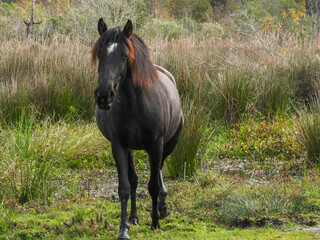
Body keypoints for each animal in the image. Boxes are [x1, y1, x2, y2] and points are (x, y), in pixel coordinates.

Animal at [91, 19, 184, 240]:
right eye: (100, 54)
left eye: (124, 56)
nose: (104, 96)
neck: (136, 104)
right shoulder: (119, 146)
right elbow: (125, 187)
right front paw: (123, 229)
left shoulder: (156, 146)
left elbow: (153, 185)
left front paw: (155, 222)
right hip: (130, 149)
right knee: (134, 180)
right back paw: (134, 217)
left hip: (168, 146)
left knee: (159, 172)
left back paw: (162, 206)